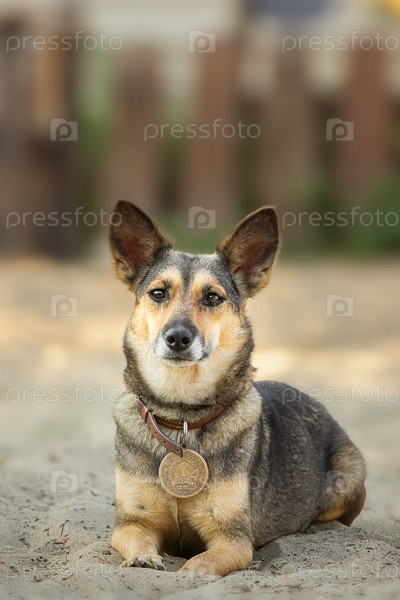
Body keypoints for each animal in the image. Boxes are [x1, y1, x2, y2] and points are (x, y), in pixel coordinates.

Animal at [109, 200, 366, 576]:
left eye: (213, 297)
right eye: (158, 293)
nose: (178, 338)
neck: (182, 415)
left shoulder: (232, 539)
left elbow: (198, 565)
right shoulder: (131, 522)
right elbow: (136, 539)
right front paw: (145, 558)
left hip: (349, 479)